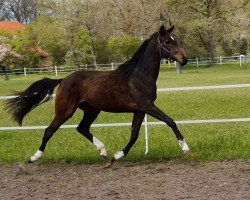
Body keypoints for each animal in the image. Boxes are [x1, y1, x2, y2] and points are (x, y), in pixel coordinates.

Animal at [4, 25, 189, 163]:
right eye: (167, 41)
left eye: (175, 40)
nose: (184, 59)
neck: (138, 76)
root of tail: (63, 80)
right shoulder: (147, 106)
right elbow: (170, 121)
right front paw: (185, 148)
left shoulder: (139, 110)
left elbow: (134, 135)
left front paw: (117, 156)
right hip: (65, 111)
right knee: (49, 130)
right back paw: (34, 157)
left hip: (92, 110)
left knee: (82, 128)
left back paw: (103, 152)